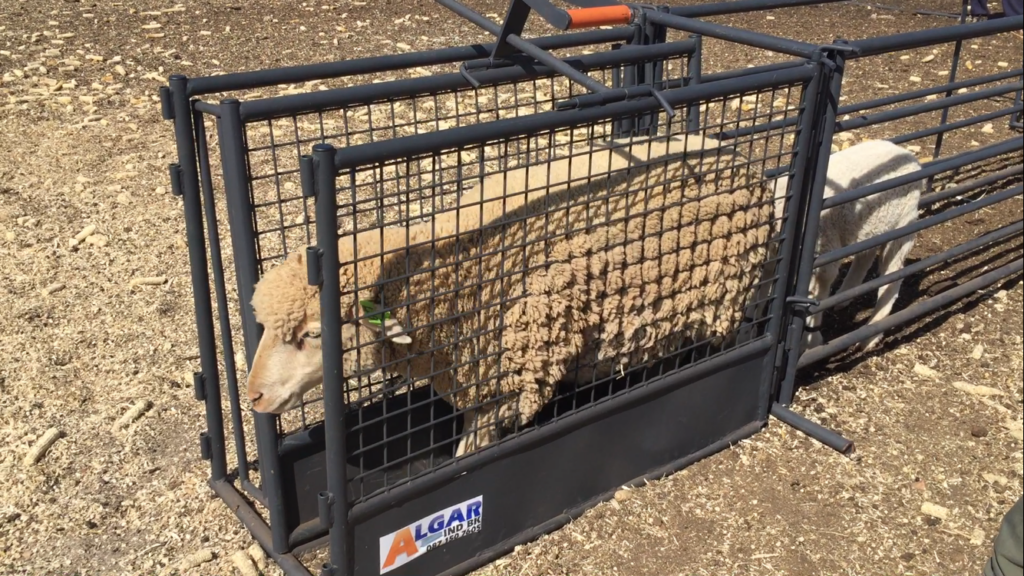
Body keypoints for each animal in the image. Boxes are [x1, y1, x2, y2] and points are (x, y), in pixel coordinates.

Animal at [247, 132, 775, 457]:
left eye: (313, 334)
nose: (253, 396)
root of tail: (739, 156)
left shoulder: (514, 377)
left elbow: (469, 452)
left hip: (731, 293)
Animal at [770, 138, 923, 353]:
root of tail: (907, 154)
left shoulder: (823, 251)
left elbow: (816, 294)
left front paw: (810, 342)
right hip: (872, 226)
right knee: (865, 256)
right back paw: (845, 296)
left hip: (902, 224)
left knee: (892, 279)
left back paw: (870, 335)